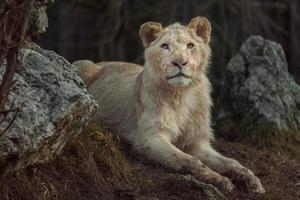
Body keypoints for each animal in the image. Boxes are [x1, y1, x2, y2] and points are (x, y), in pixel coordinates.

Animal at [73, 16, 264, 195]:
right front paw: (222, 181)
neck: (182, 94)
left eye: (190, 45)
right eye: (165, 46)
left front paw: (253, 182)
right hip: (82, 66)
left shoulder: (196, 143)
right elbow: (190, 160)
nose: (179, 62)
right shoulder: (149, 138)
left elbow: (232, 162)